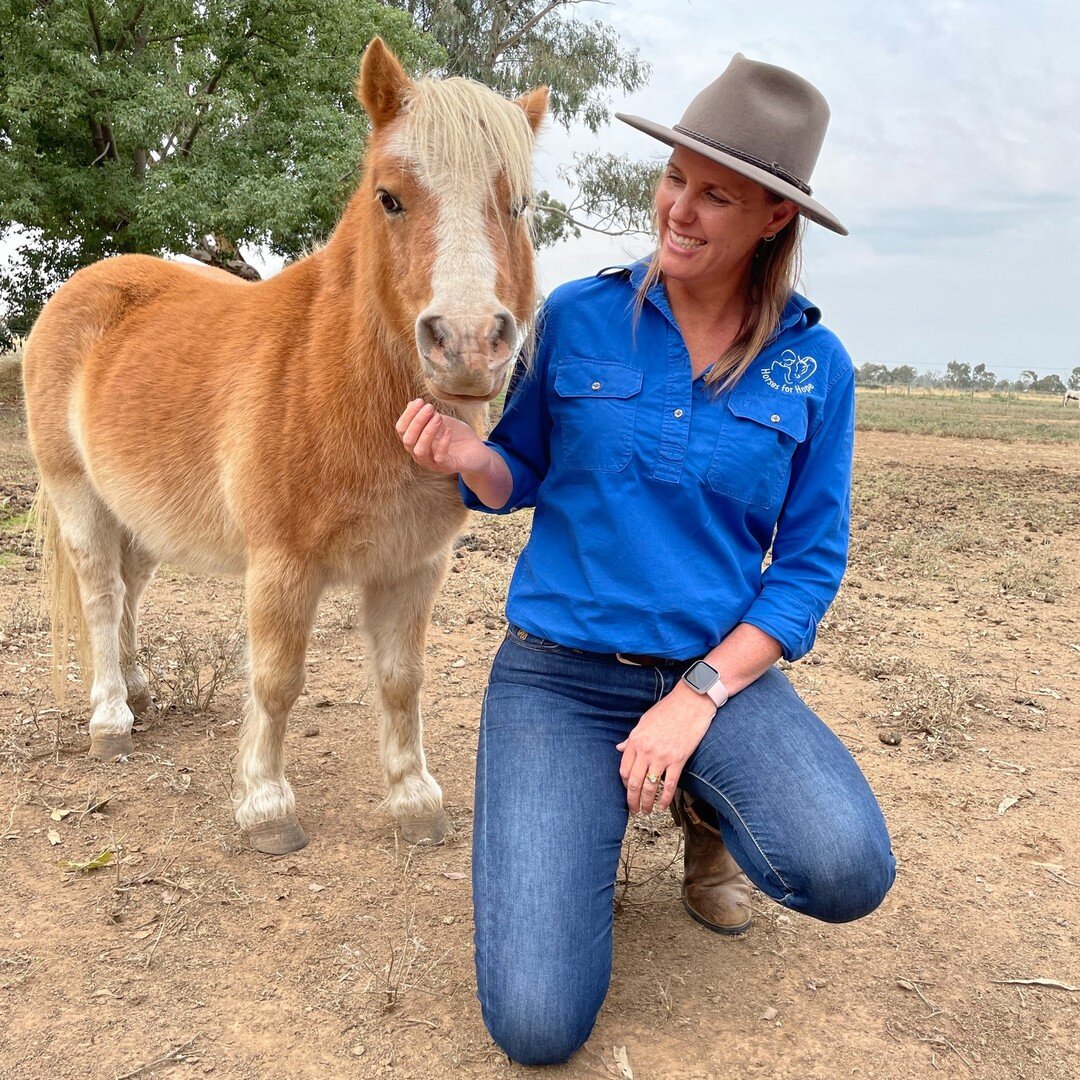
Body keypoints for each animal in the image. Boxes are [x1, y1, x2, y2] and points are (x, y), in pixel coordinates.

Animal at [23, 38, 548, 855]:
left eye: (518, 205)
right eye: (389, 197)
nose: (466, 345)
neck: (338, 379)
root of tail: (83, 289)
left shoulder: (413, 566)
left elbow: (400, 678)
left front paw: (414, 799)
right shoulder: (281, 565)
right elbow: (275, 680)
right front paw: (266, 806)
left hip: (136, 511)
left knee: (130, 586)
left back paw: (139, 689)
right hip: (76, 492)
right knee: (102, 594)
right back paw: (110, 717)